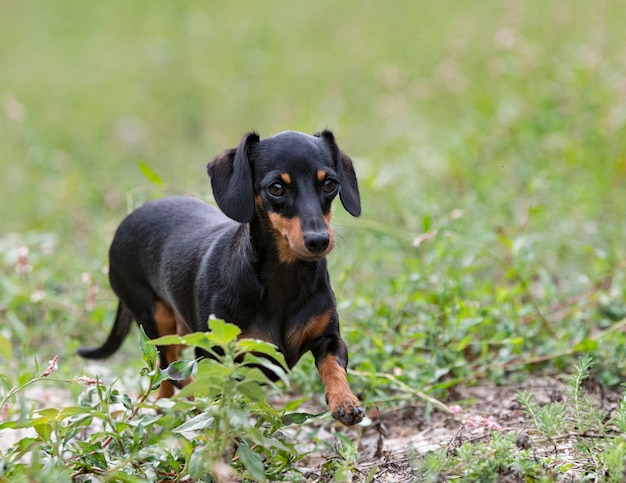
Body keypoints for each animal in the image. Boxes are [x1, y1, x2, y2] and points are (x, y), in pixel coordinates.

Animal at [78, 130, 364, 426]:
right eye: (276, 188)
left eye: (330, 184)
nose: (319, 240)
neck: (284, 280)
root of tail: (127, 219)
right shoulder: (214, 354)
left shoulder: (328, 338)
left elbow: (333, 367)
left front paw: (345, 400)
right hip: (156, 320)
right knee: (169, 370)